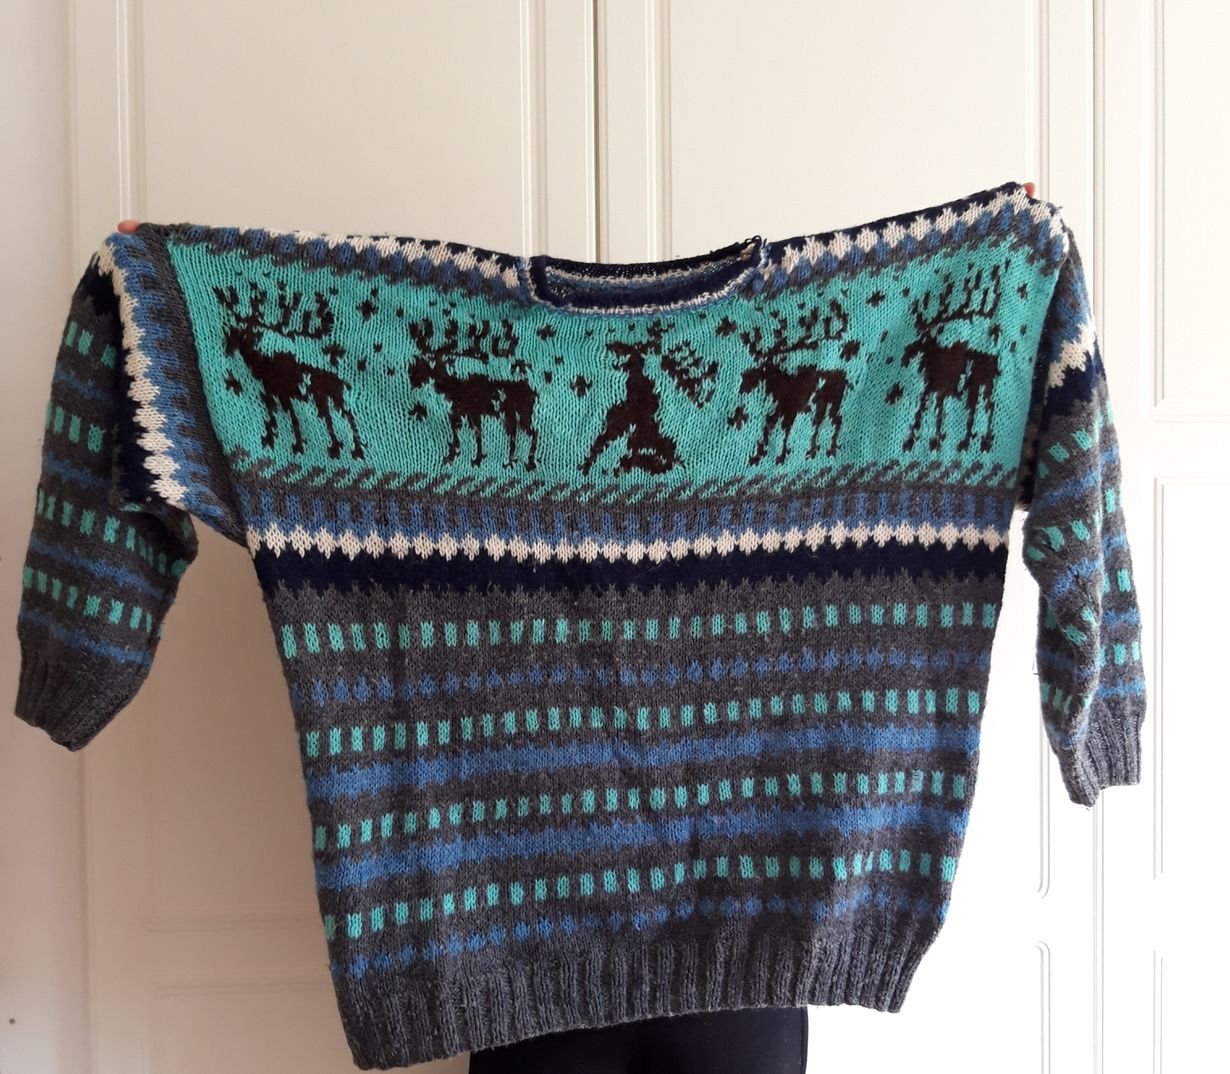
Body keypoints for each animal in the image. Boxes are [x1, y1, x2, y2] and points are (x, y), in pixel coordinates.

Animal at [213, 280, 365, 461]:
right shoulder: (271, 395)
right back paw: (340, 448)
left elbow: (292, 418)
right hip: (325, 399)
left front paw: (297, 445)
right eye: (240, 333)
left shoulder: (284, 395)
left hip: (331, 398)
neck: (261, 365)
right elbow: (274, 416)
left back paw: (353, 450)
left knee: (345, 416)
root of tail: (341, 381)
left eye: (251, 333)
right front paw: (271, 440)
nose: (230, 346)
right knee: (333, 418)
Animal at [405, 310, 538, 470]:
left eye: (426, 364)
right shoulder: (458, 413)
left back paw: (527, 462)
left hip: (520, 413)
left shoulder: (472, 412)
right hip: (512, 415)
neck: (452, 384)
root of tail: (531, 389)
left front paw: (474, 458)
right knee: (516, 434)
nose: (411, 377)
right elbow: (460, 434)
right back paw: (512, 460)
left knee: (531, 432)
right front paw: (455, 457)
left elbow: (476, 434)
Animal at [737, 298, 852, 465]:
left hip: (832, 401)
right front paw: (759, 453)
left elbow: (785, 430)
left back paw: (828, 449)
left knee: (833, 420)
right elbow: (769, 424)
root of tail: (844, 377)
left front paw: (781, 454)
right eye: (759, 364)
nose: (743, 383)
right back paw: (815, 449)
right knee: (822, 421)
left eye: (763, 368)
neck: (778, 386)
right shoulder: (779, 409)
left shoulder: (790, 409)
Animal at [899, 260, 1005, 453]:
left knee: (983, 408)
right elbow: (927, 408)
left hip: (980, 385)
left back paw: (976, 441)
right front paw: (922, 438)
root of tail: (992, 357)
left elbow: (934, 412)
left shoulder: (939, 389)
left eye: (923, 340)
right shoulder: (932, 390)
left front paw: (932, 439)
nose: (906, 355)